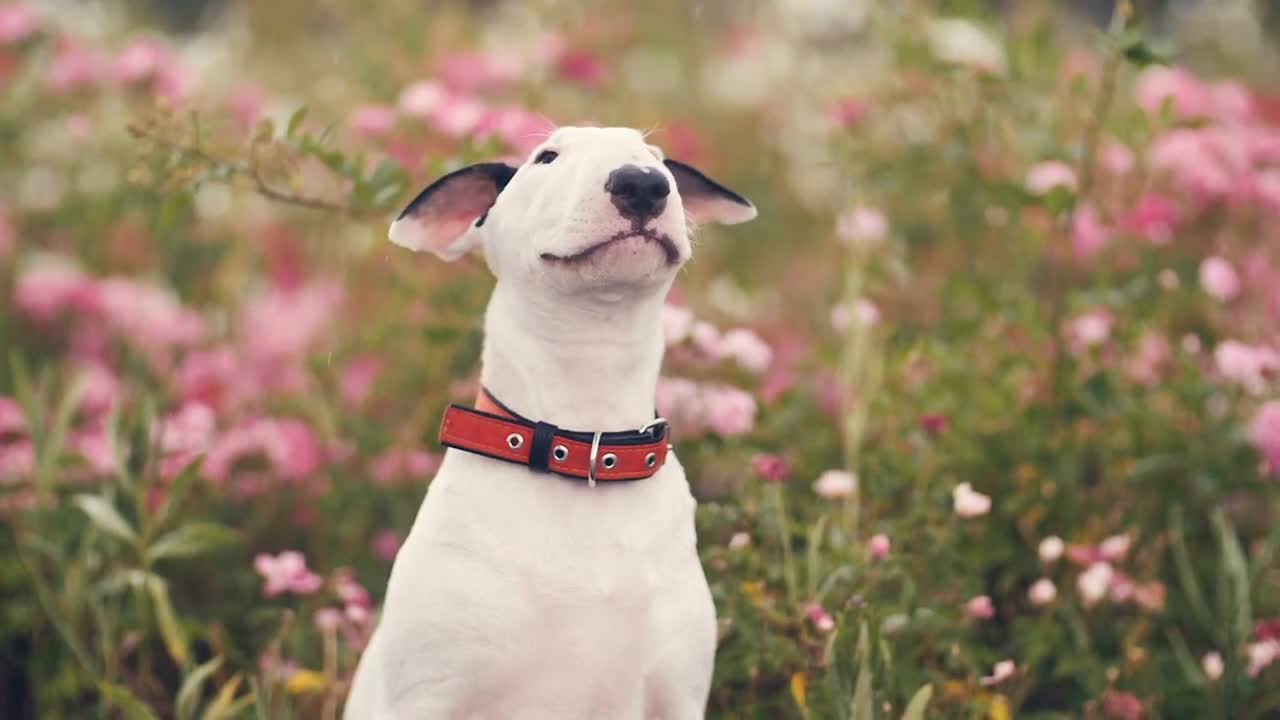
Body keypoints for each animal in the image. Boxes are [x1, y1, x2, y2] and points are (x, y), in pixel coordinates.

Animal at [345, 126, 752, 712]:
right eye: (547, 157)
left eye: (654, 157)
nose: (642, 183)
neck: (583, 442)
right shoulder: (430, 693)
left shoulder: (678, 693)